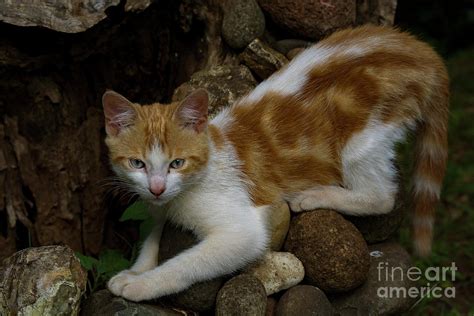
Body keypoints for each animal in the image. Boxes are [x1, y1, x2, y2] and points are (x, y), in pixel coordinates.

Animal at [101, 24, 448, 302]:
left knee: (381, 197)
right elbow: (153, 232)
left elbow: (189, 262)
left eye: (177, 162)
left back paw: (316, 195)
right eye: (137, 163)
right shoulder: (159, 205)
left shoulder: (241, 231)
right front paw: (136, 270)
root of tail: (418, 50)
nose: (157, 187)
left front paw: (144, 284)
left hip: (363, 138)